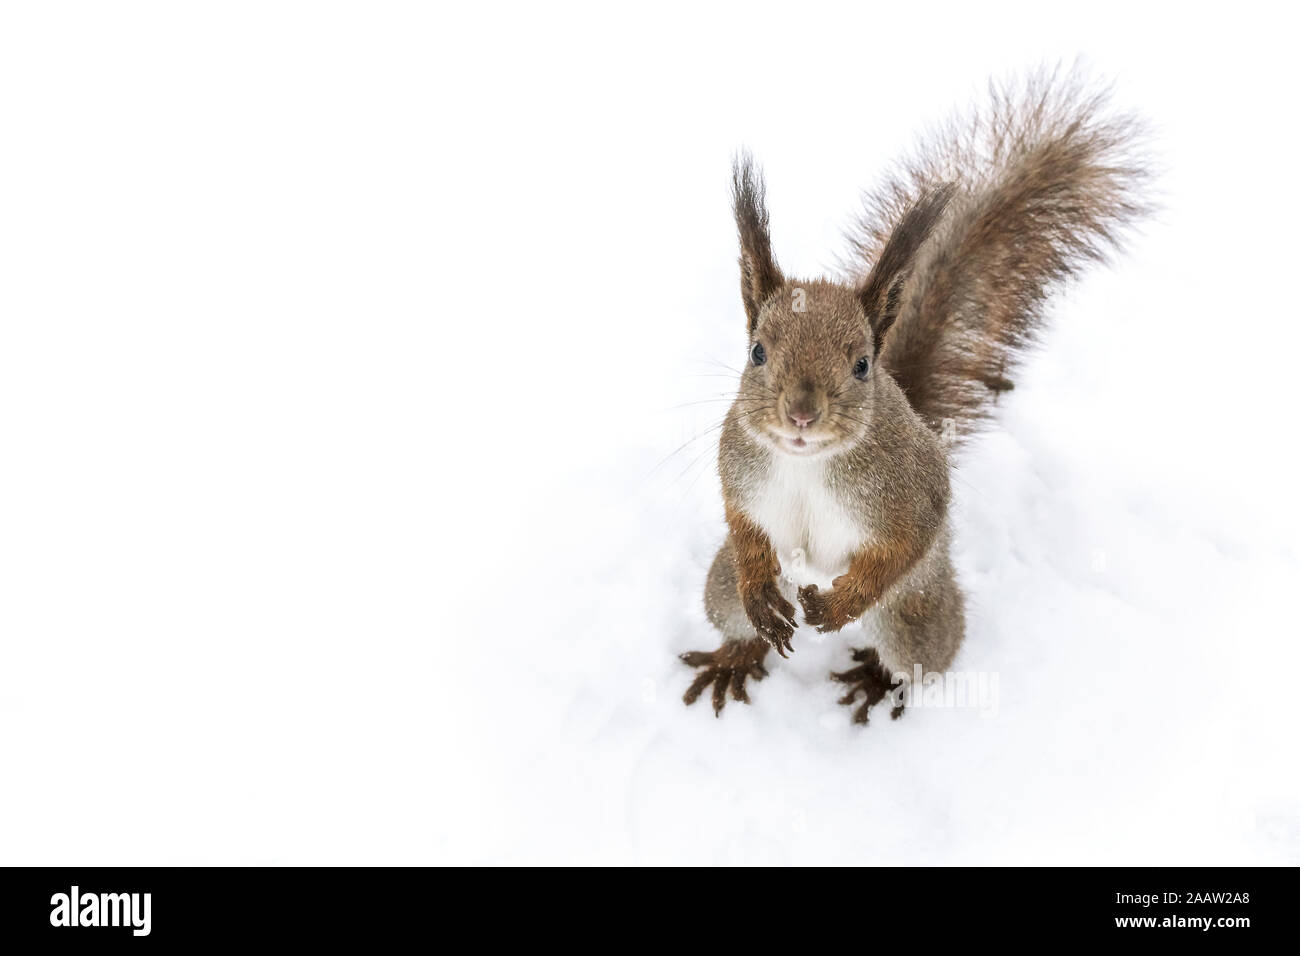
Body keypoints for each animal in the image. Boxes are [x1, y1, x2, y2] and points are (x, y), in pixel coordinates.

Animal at [681, 70, 1149, 723]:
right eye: (757, 352)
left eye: (861, 365)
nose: (801, 415)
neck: (809, 463)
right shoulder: (739, 467)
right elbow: (743, 524)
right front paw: (759, 590)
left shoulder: (912, 492)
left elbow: (905, 545)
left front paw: (838, 606)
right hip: (719, 586)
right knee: (733, 608)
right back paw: (736, 655)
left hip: (913, 614)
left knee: (922, 650)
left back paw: (878, 677)